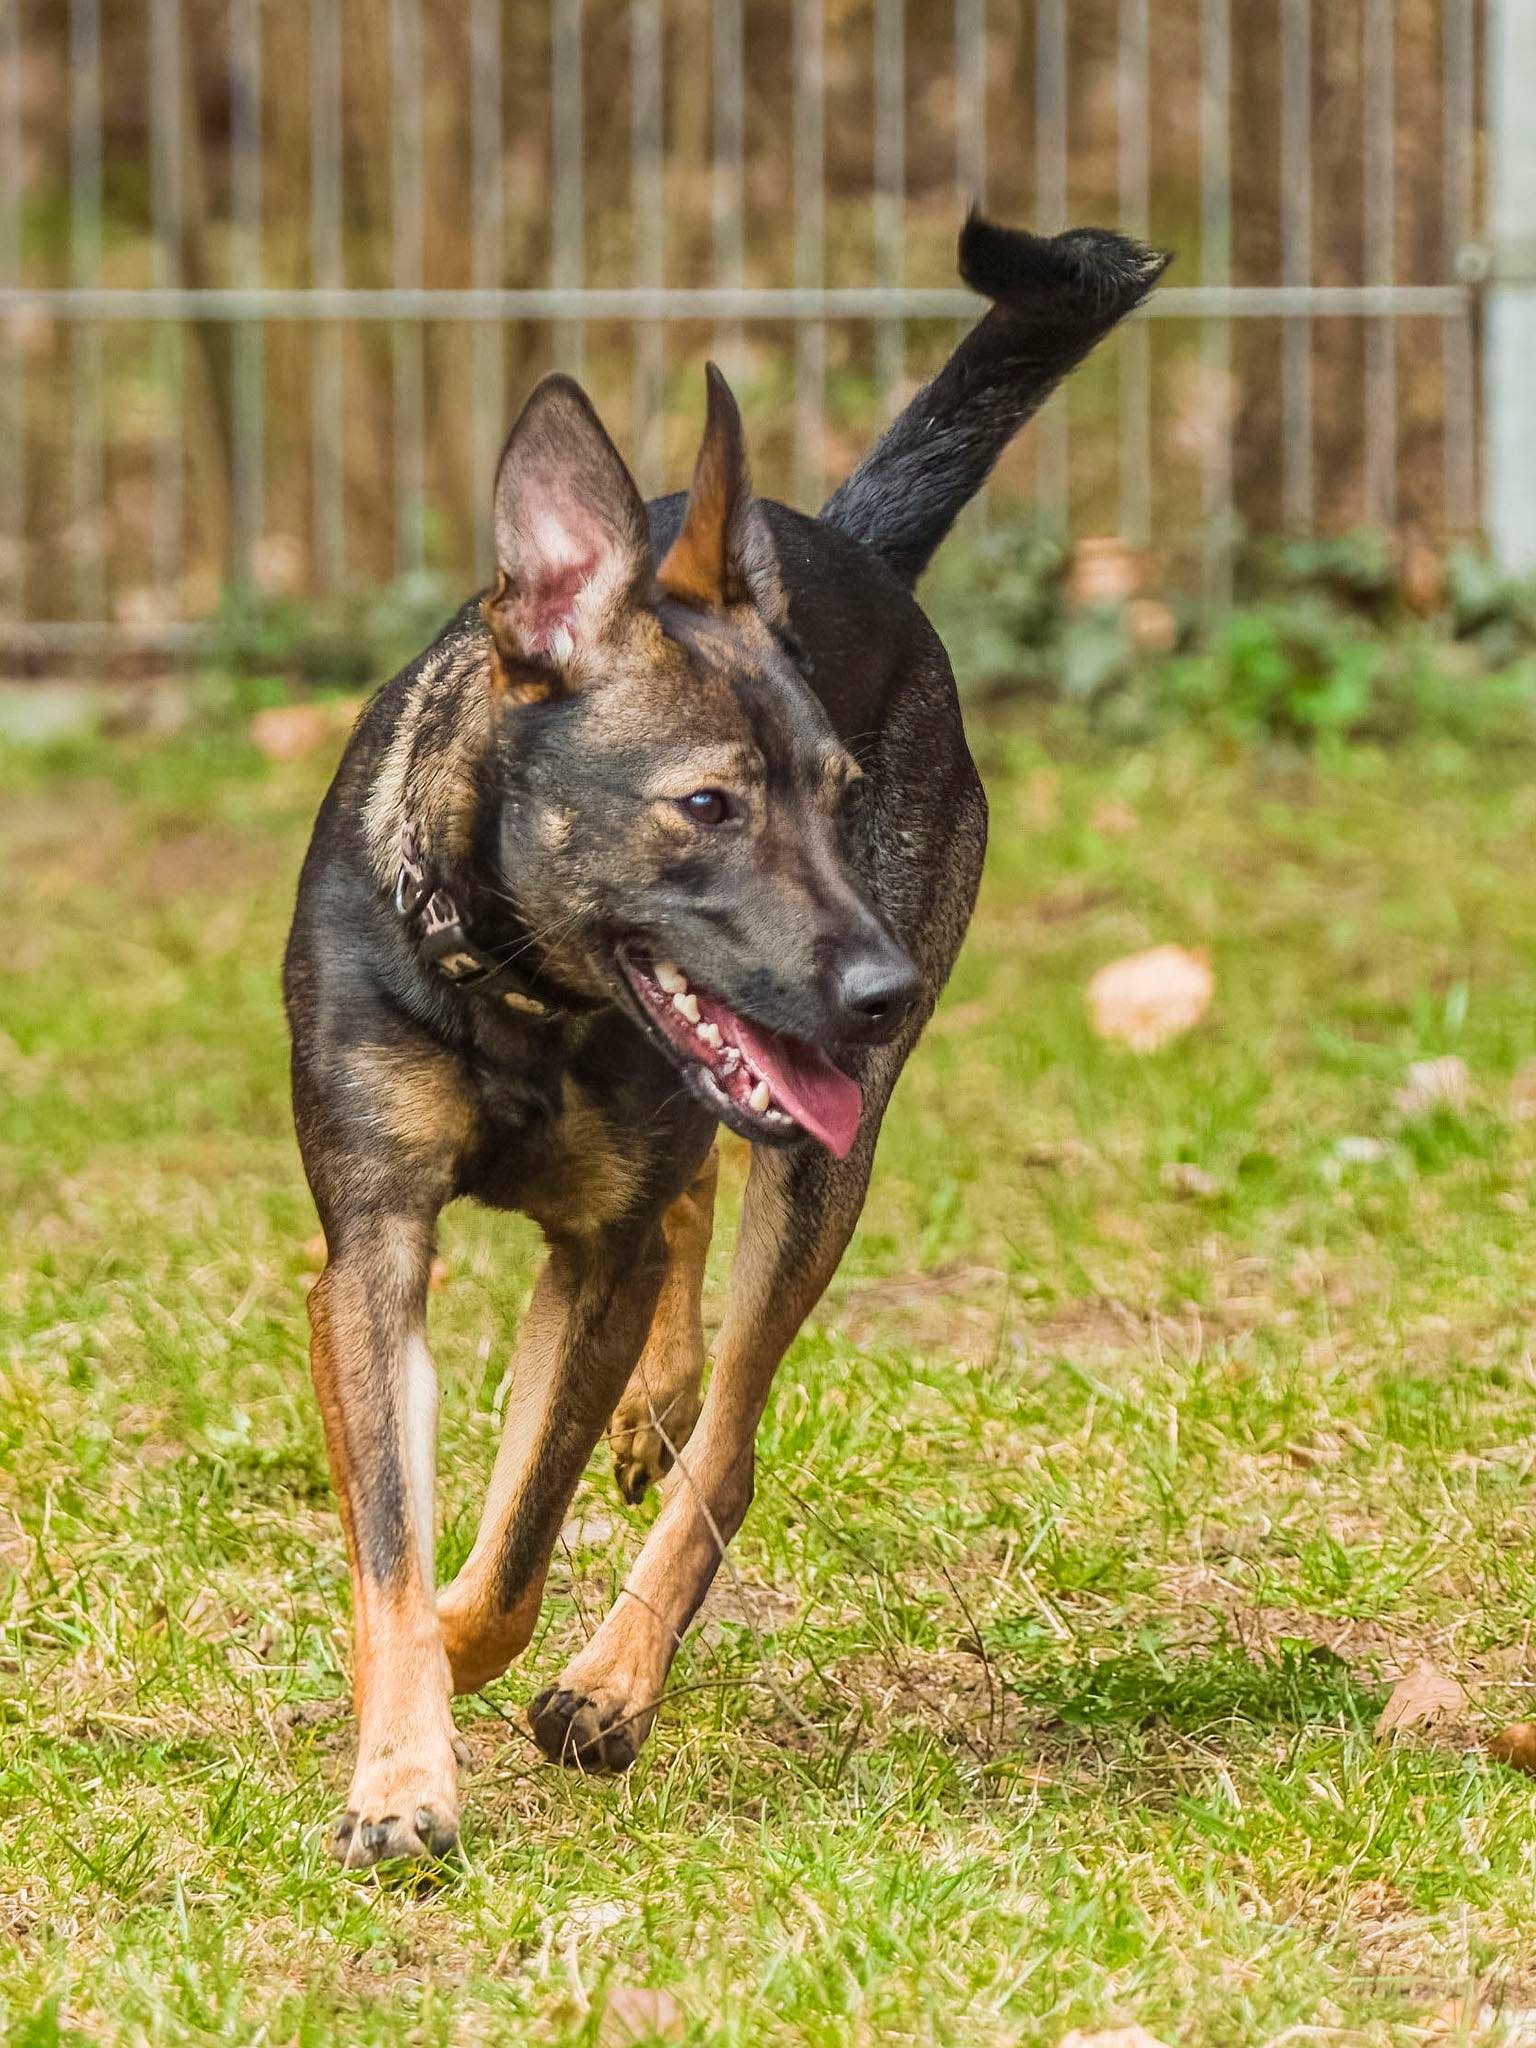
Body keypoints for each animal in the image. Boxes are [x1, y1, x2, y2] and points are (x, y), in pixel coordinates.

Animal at [284, 213, 1168, 1866]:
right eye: (708, 805)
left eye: (836, 792)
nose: (887, 987)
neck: (524, 991)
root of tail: (846, 537)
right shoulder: (372, 1250)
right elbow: (395, 1542)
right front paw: (400, 1765)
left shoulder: (598, 1257)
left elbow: (502, 1562)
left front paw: (461, 1680)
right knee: (701, 1219)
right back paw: (657, 1406)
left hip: (826, 1162)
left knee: (734, 1441)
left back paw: (619, 1669)